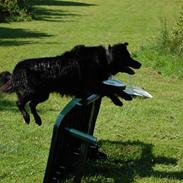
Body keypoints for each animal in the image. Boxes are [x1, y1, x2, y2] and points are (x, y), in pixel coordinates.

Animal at [0, 43, 142, 126]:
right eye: (128, 57)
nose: (139, 64)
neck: (105, 59)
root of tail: (16, 69)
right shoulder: (91, 85)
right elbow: (110, 88)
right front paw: (124, 97)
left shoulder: (94, 85)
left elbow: (109, 89)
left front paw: (119, 99)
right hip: (31, 92)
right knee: (20, 103)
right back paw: (27, 118)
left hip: (43, 94)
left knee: (32, 104)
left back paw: (38, 120)